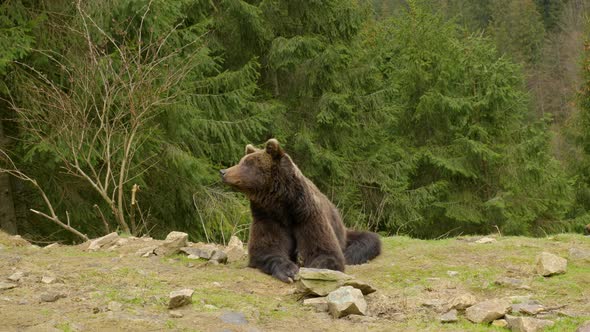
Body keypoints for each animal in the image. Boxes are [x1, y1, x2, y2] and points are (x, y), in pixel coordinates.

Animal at [220, 139, 382, 282]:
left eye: (248, 163)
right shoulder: (268, 216)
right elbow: (267, 249)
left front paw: (314, 270)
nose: (223, 171)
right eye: (242, 161)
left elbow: (325, 252)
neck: (282, 205)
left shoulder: (307, 215)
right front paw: (289, 271)